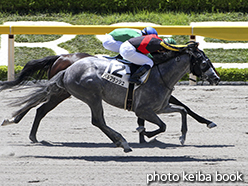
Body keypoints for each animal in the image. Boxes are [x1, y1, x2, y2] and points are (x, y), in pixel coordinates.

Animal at [5, 45, 219, 153]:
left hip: (64, 91)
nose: (216, 78)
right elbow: (164, 124)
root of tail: (66, 64)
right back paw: (122, 142)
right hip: (90, 95)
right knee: (97, 120)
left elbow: (182, 111)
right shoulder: (144, 109)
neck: (160, 74)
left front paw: (181, 136)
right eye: (204, 62)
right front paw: (145, 133)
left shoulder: (160, 107)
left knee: (41, 107)